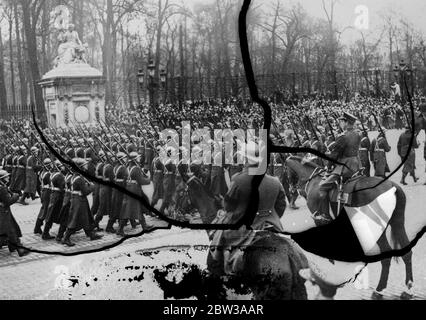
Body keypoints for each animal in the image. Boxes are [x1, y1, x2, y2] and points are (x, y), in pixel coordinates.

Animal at [284, 156, 414, 298]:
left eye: (286, 171)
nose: (292, 189)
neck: (314, 180)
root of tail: (392, 186)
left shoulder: (319, 218)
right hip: (398, 223)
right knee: (407, 252)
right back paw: (408, 289)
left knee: (386, 258)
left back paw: (379, 290)